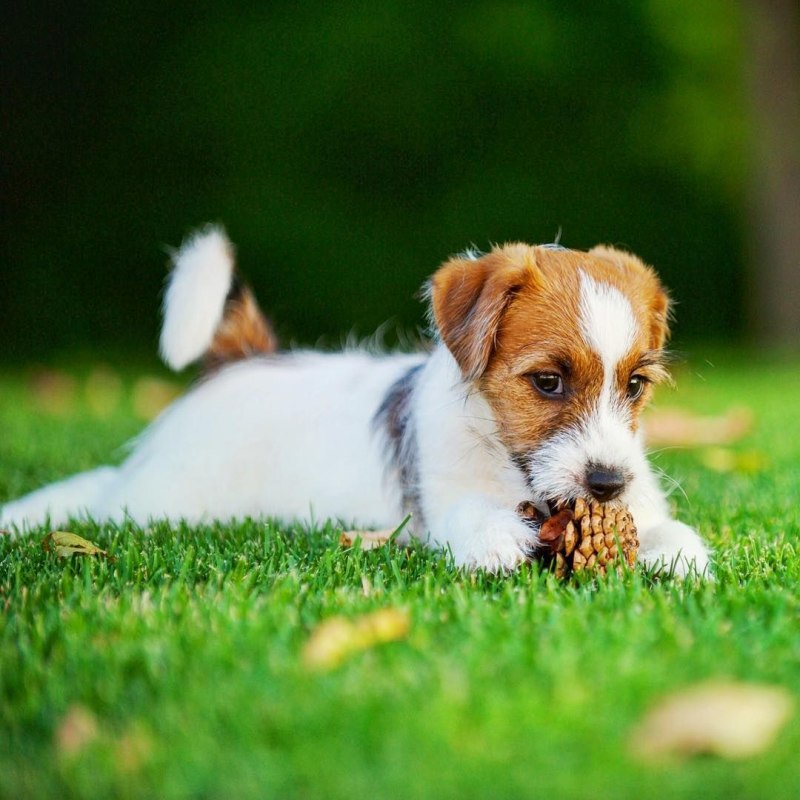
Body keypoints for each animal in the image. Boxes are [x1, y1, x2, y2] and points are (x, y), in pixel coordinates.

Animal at [1, 227, 710, 576]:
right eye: (548, 382)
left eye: (635, 386)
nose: (607, 483)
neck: (507, 465)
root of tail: (243, 359)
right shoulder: (443, 500)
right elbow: (469, 516)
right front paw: (494, 542)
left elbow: (665, 526)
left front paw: (679, 553)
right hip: (166, 502)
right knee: (100, 496)